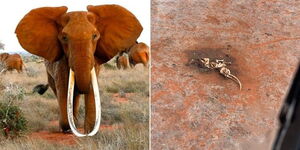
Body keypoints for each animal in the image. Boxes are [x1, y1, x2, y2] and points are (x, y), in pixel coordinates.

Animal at [15, 4, 143, 136]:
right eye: (64, 38)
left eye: (95, 36)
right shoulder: (60, 62)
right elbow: (64, 88)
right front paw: (67, 127)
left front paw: (89, 132)